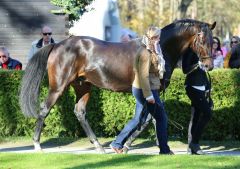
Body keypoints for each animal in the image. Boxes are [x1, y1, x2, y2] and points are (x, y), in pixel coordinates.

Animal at [19, 18, 216, 153]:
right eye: (201, 40)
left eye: (213, 41)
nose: (208, 66)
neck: (156, 49)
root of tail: (58, 45)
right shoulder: (151, 92)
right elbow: (147, 120)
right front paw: (128, 145)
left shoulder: (153, 94)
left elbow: (150, 119)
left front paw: (157, 145)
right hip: (58, 87)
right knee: (44, 109)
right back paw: (37, 145)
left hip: (83, 86)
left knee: (80, 112)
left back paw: (98, 146)